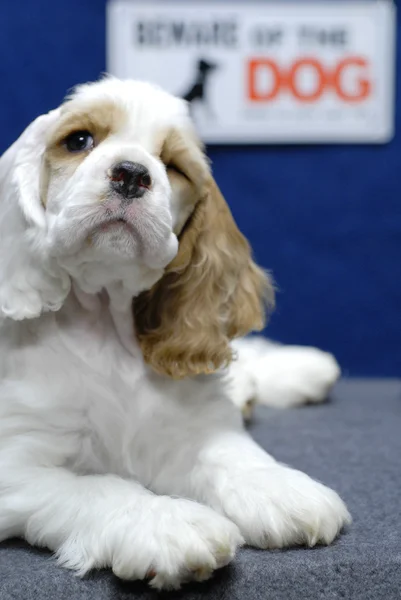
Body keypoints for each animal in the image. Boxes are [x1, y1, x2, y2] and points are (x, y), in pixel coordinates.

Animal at [0, 76, 350, 592]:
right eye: (79, 140)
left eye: (173, 166)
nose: (131, 173)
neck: (105, 325)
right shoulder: (17, 464)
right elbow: (100, 486)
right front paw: (169, 526)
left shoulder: (193, 423)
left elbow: (230, 455)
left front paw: (278, 488)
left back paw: (301, 368)